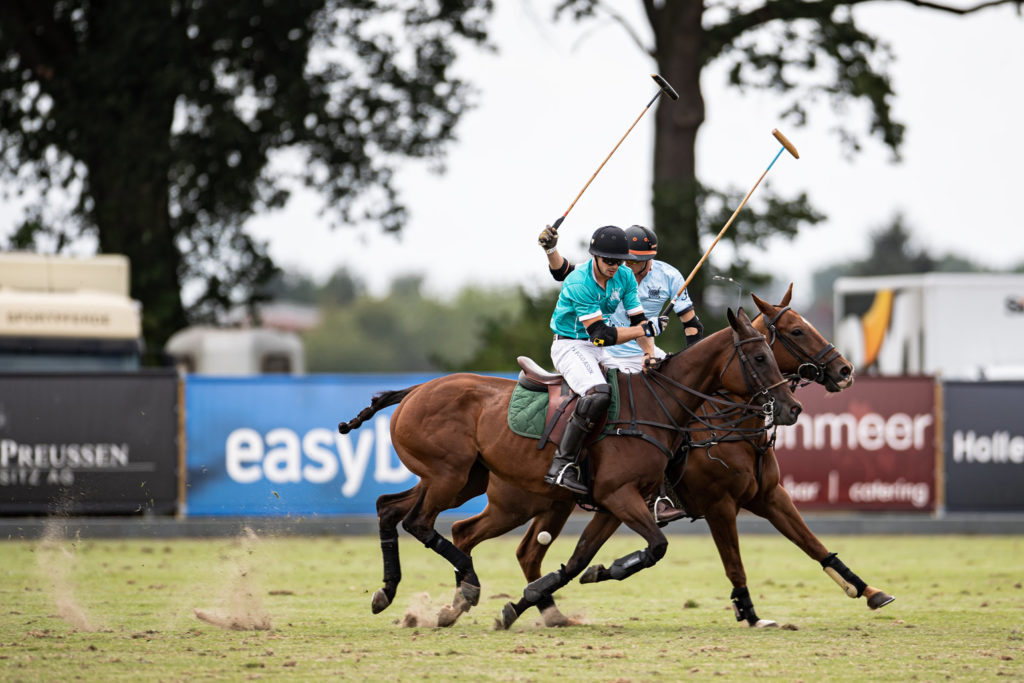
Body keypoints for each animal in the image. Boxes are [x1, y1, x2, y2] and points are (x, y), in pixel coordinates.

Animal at [335, 307, 798, 626]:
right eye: (760, 357)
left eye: (773, 352)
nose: (791, 407)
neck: (657, 405)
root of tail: (414, 389)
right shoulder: (622, 495)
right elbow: (657, 547)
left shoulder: (614, 503)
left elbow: (579, 561)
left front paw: (530, 599)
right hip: (453, 476)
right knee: (420, 522)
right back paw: (467, 586)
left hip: (464, 478)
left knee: (392, 508)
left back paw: (396, 594)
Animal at [444, 284, 892, 630]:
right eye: (796, 331)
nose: (845, 371)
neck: (723, 419)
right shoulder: (717, 503)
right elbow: (733, 562)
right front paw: (749, 614)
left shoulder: (768, 495)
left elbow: (813, 544)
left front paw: (869, 590)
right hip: (517, 502)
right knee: (471, 532)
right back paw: (463, 601)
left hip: (553, 504)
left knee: (524, 550)